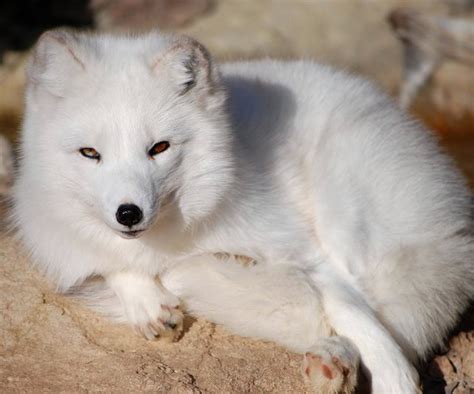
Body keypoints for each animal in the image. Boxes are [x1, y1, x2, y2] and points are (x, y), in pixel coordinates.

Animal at [12, 28, 472, 394]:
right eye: (90, 153)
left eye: (159, 147)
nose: (129, 214)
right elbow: (111, 261)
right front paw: (148, 303)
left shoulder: (302, 247)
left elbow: (353, 309)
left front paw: (394, 376)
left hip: (346, 209)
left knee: (383, 305)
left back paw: (337, 358)